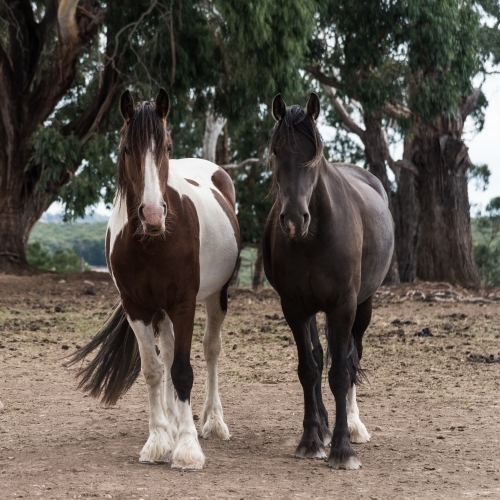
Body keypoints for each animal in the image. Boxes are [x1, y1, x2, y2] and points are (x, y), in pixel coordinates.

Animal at [68, 88, 240, 470]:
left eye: (167, 147)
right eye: (125, 148)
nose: (152, 215)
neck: (153, 242)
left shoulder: (183, 304)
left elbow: (184, 371)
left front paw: (188, 449)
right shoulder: (138, 308)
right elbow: (154, 370)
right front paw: (160, 441)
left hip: (215, 297)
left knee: (210, 350)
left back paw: (214, 422)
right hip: (161, 312)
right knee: (170, 355)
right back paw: (176, 425)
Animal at [262, 93, 394, 468]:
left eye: (314, 155)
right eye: (276, 151)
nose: (294, 220)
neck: (315, 237)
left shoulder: (343, 307)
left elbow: (340, 373)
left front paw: (342, 447)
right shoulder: (294, 308)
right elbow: (309, 368)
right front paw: (311, 440)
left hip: (363, 308)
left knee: (352, 357)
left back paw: (354, 425)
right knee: (322, 357)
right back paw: (321, 427)